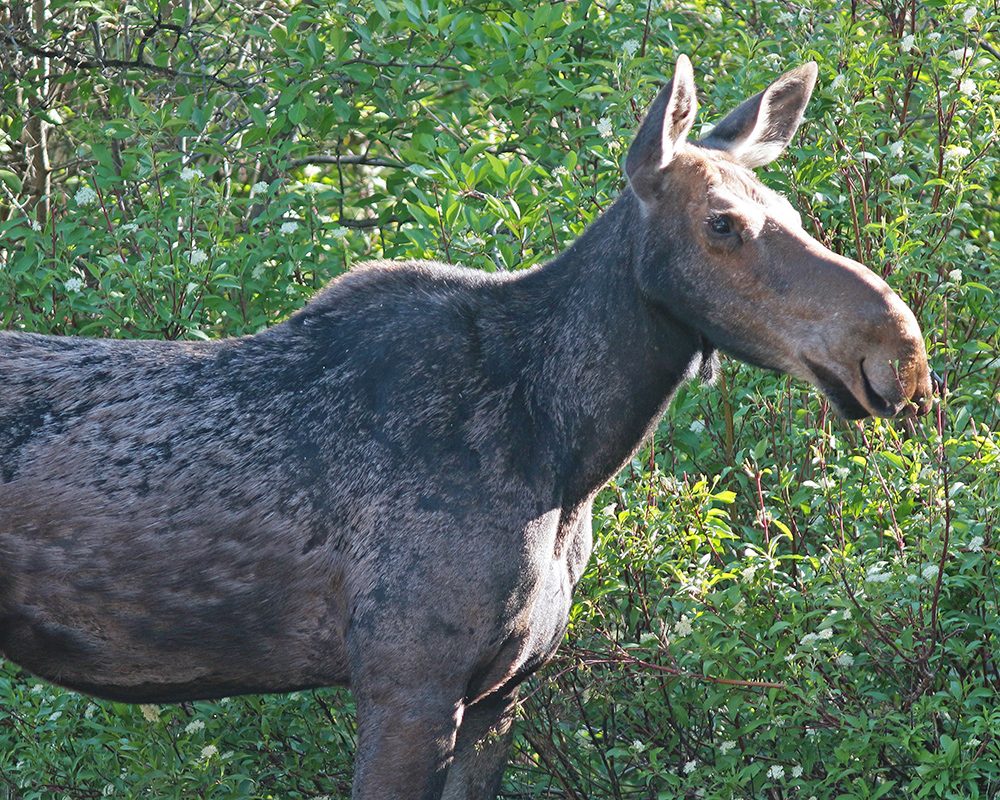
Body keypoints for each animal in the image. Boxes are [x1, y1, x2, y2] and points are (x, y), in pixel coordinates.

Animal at [3, 57, 932, 800]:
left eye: (790, 208)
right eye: (723, 223)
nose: (900, 351)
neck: (567, 453)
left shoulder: (500, 693)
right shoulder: (406, 678)